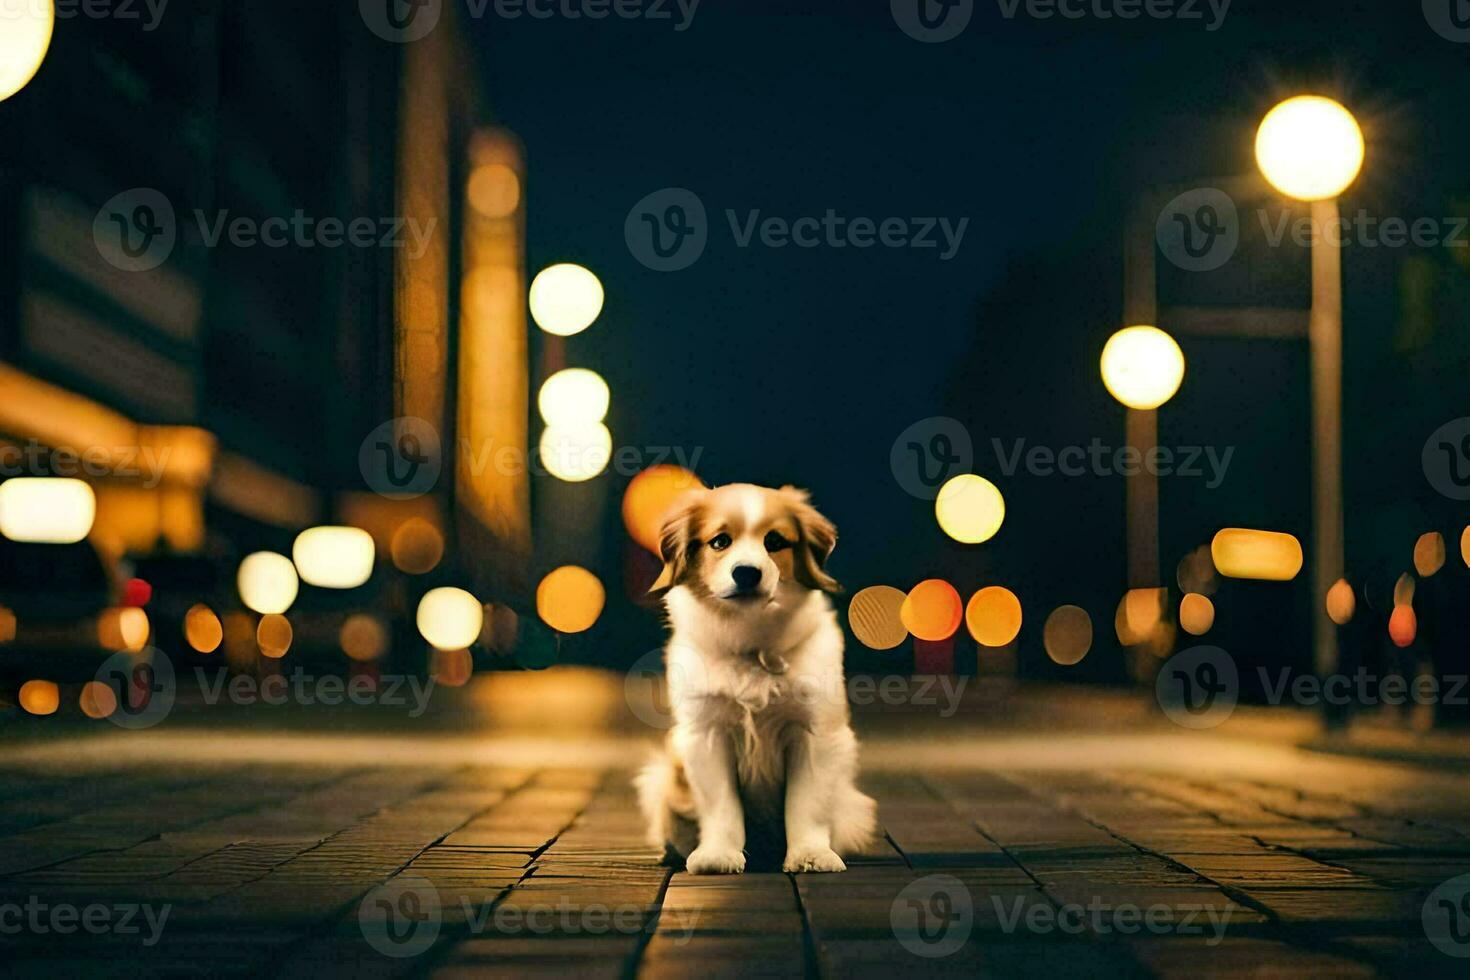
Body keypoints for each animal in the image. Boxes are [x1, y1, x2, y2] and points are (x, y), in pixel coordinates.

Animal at [632, 481, 870, 875]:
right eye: (719, 542)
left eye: (774, 541)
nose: (746, 572)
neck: (750, 643)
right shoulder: (707, 735)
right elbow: (721, 807)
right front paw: (718, 854)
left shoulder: (815, 735)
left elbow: (806, 804)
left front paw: (810, 854)